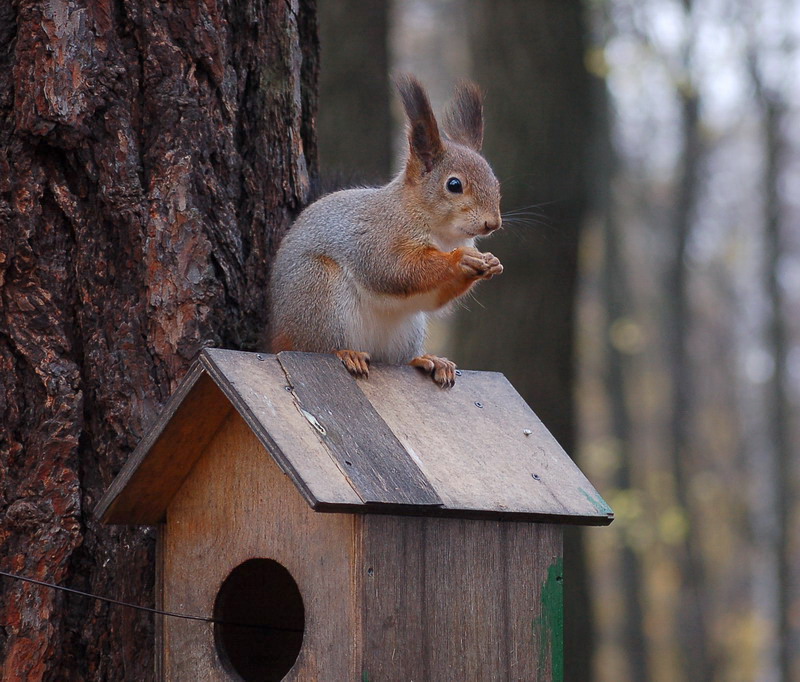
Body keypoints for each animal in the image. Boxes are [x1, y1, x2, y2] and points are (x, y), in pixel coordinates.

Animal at [272, 75, 504, 386]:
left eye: (495, 183)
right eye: (454, 185)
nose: (493, 223)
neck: (443, 235)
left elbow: (431, 297)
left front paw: (489, 263)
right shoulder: (380, 237)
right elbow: (395, 269)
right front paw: (461, 260)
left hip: (407, 329)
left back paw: (428, 360)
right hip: (318, 293)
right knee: (315, 346)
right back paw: (347, 353)